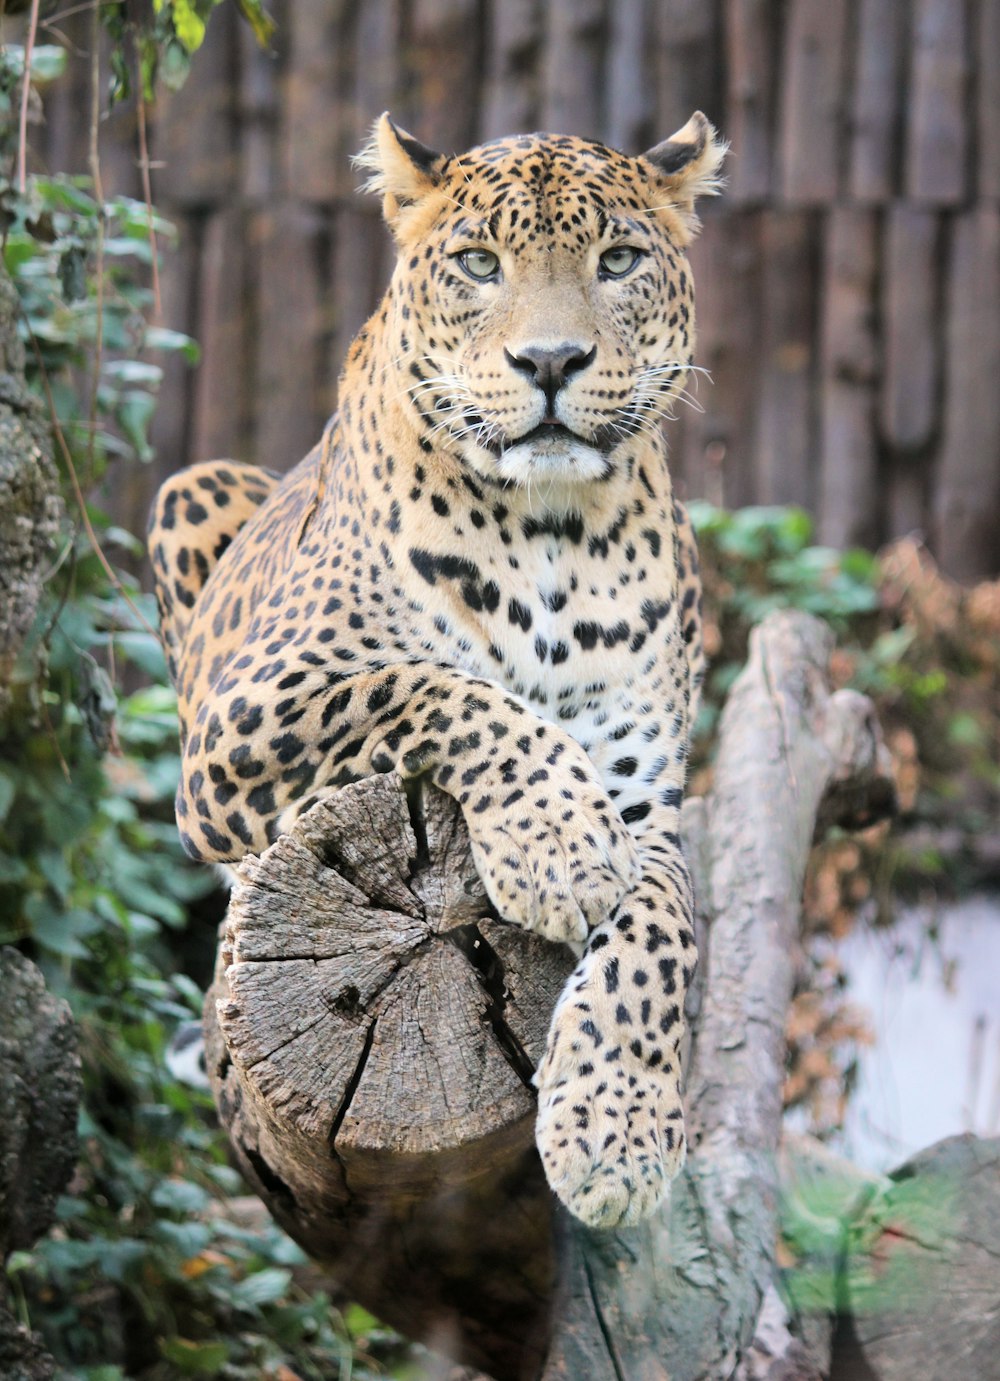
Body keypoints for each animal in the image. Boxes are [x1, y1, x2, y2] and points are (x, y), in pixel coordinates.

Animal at [148, 110, 729, 1231]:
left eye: (618, 260)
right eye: (478, 263)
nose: (550, 359)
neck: (552, 535)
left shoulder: (648, 800)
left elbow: (661, 933)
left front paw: (616, 1136)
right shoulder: (241, 726)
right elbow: (436, 688)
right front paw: (559, 845)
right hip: (189, 487)